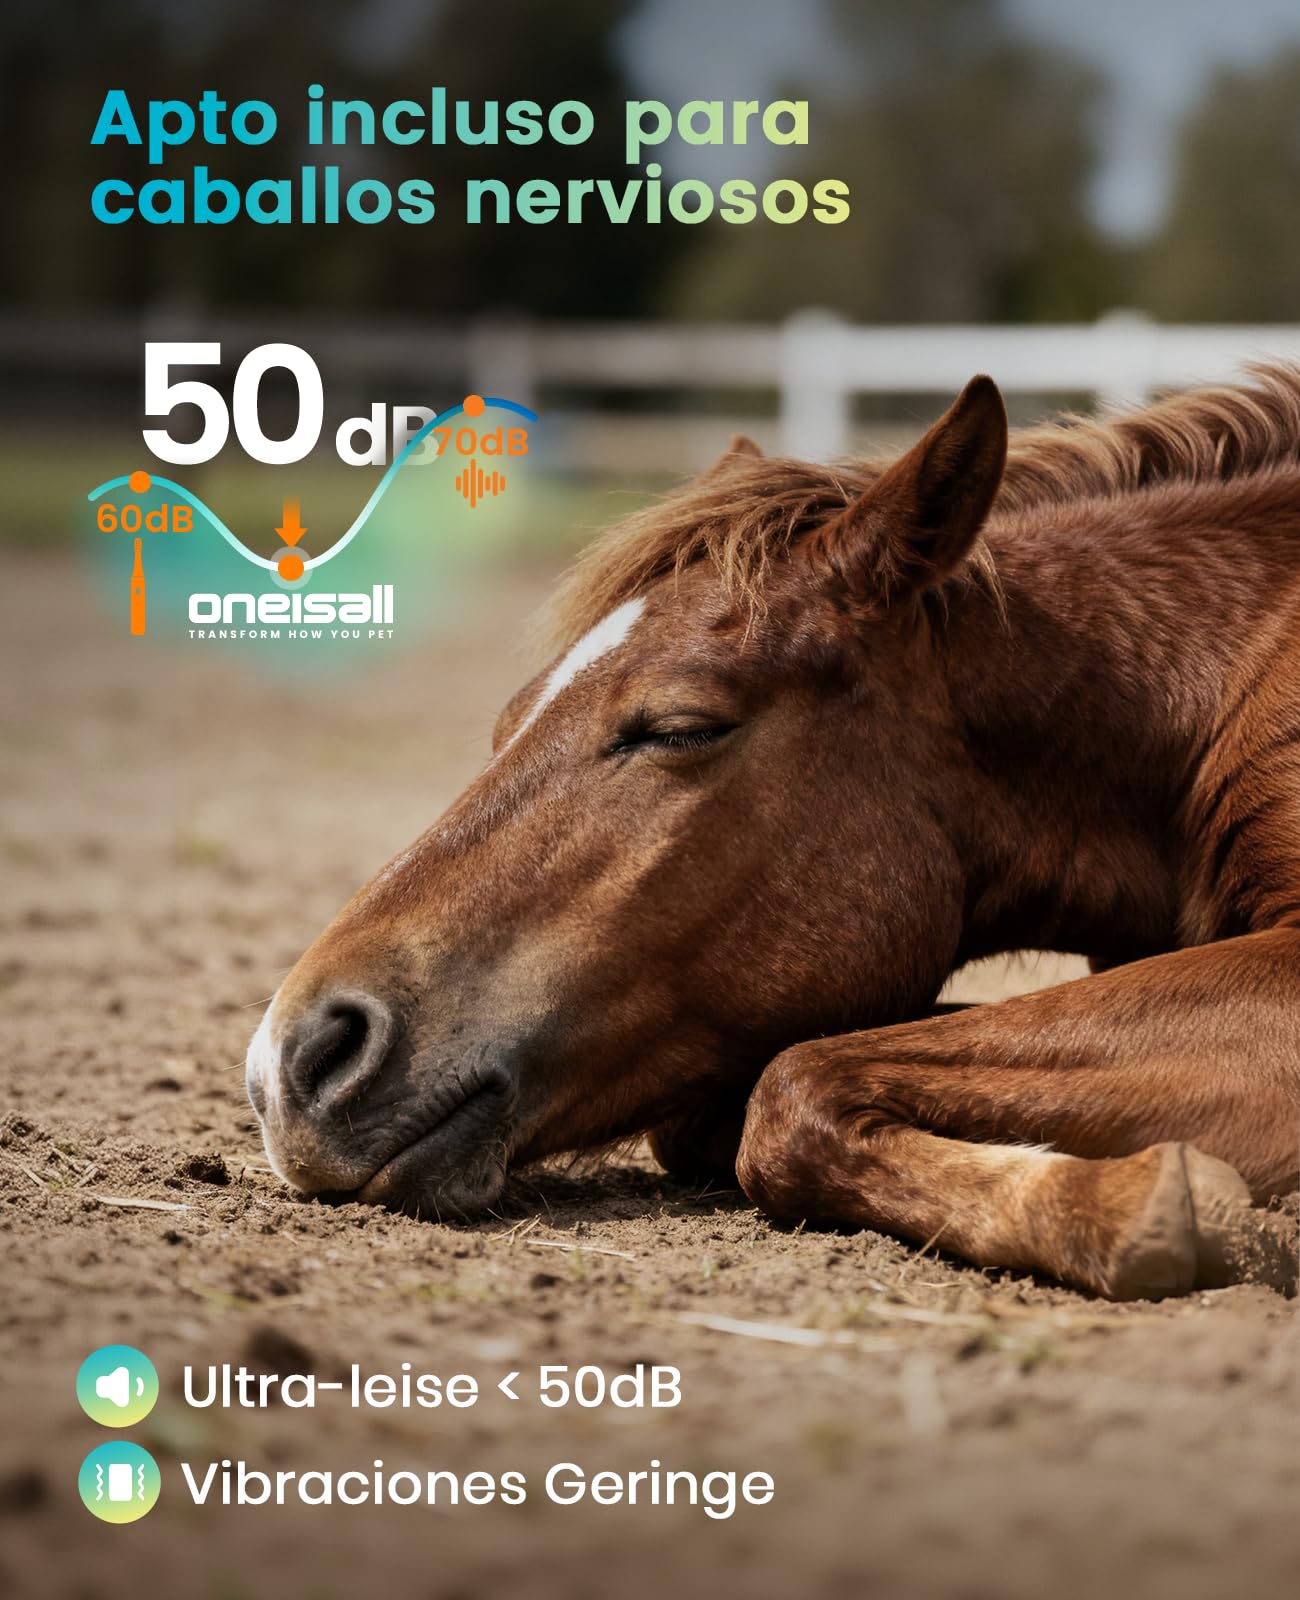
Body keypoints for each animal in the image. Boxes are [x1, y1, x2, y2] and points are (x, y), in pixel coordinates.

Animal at [246, 366, 1300, 1300]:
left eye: (679, 728)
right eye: (506, 724)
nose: (292, 1063)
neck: (1200, 690)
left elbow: (794, 1085)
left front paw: (1155, 1203)